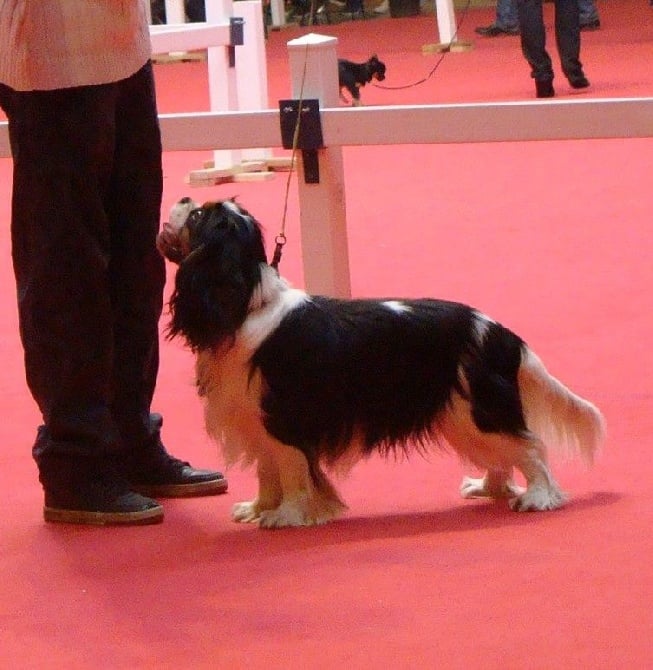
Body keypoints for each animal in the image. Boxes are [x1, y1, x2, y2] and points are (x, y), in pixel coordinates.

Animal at [159, 198, 608, 532]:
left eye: (197, 217)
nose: (183, 198)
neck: (244, 304)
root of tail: (500, 332)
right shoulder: (252, 420)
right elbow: (267, 471)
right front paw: (258, 508)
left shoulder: (283, 420)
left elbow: (290, 471)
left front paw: (287, 516)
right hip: (459, 416)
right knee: (500, 455)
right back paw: (487, 488)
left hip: (479, 411)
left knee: (531, 449)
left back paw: (539, 497)